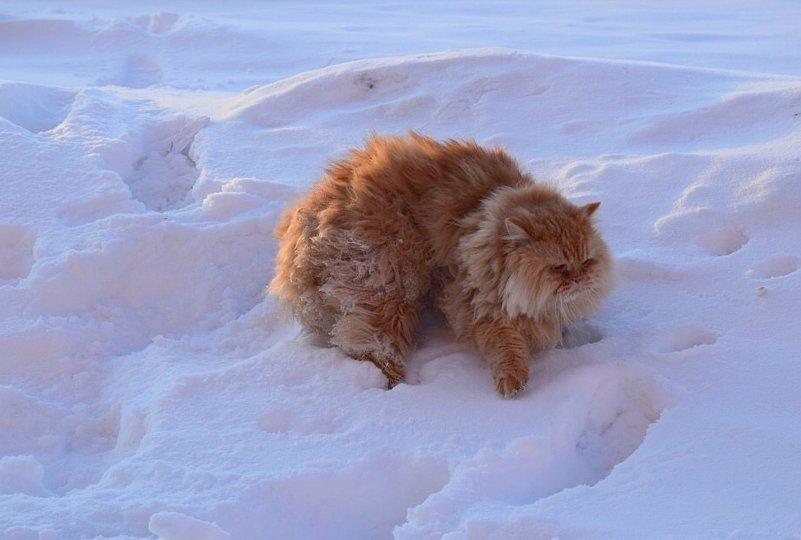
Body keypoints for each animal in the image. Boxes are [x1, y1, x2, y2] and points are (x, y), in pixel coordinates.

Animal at [268, 134, 612, 396]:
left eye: (586, 261)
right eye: (560, 267)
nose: (581, 280)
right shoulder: (475, 302)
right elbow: (506, 346)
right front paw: (513, 381)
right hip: (390, 283)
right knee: (372, 344)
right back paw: (393, 385)